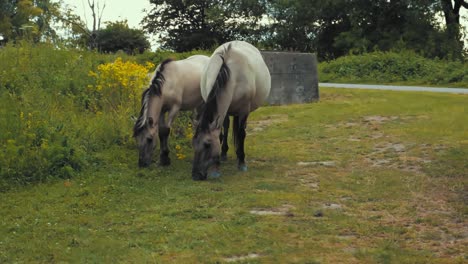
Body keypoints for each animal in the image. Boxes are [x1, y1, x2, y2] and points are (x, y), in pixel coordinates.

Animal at [190, 41, 270, 180]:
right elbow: (221, 134)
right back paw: (224, 153)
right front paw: (217, 166)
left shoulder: (244, 110)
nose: (196, 175)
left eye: (207, 145)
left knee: (239, 130)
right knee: (227, 127)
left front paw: (242, 162)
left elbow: (241, 134)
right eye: (193, 144)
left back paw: (239, 155)